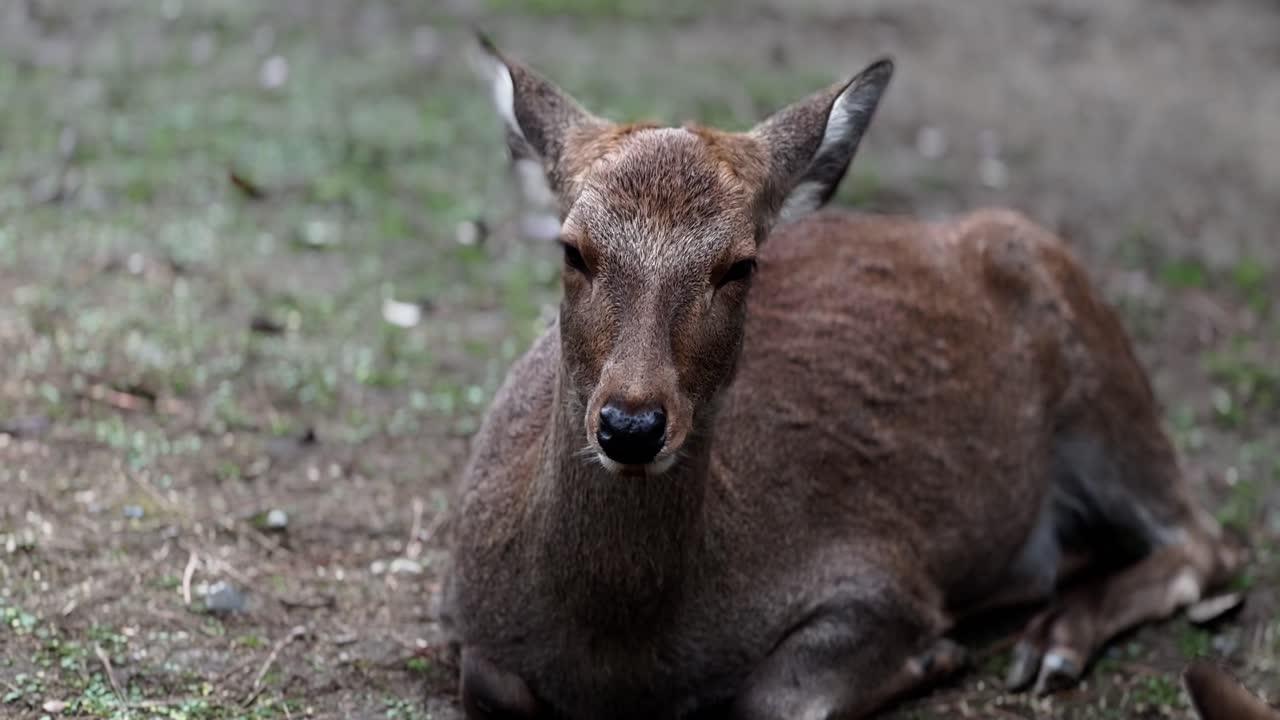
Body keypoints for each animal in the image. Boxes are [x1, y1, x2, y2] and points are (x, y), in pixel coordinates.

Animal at [437, 32, 1246, 720]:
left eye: (740, 265)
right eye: (571, 249)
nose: (630, 425)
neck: (618, 661)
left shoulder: (876, 571)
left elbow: (772, 698)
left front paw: (931, 657)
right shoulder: (459, 604)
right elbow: (492, 683)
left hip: (1109, 384)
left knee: (1209, 542)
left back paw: (1053, 642)